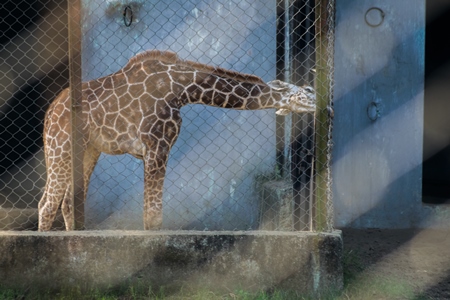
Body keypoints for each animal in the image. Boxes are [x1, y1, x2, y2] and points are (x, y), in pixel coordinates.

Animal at [37, 49, 314, 232]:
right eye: (307, 92)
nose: (318, 105)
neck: (183, 89)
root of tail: (50, 111)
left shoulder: (154, 149)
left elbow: (151, 213)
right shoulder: (158, 145)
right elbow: (153, 216)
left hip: (87, 150)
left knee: (68, 203)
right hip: (60, 146)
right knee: (47, 205)